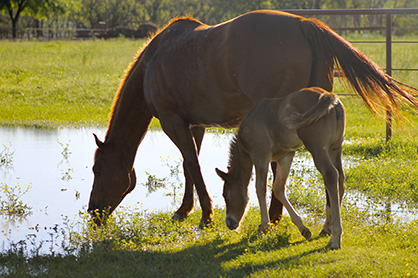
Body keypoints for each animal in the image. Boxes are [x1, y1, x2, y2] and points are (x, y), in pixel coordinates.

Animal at [88, 10, 418, 228]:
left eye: (97, 169)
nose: (93, 212)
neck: (154, 61)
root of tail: (304, 24)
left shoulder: (173, 122)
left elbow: (192, 164)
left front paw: (204, 214)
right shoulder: (195, 124)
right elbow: (187, 165)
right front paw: (185, 209)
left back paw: (276, 216)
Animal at [217, 87, 344, 250]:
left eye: (225, 195)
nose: (229, 223)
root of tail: (328, 95)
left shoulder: (260, 156)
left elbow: (260, 189)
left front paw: (264, 227)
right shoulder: (285, 156)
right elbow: (278, 188)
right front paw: (303, 228)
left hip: (318, 149)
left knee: (331, 175)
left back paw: (335, 238)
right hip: (335, 148)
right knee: (340, 178)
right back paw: (328, 231)